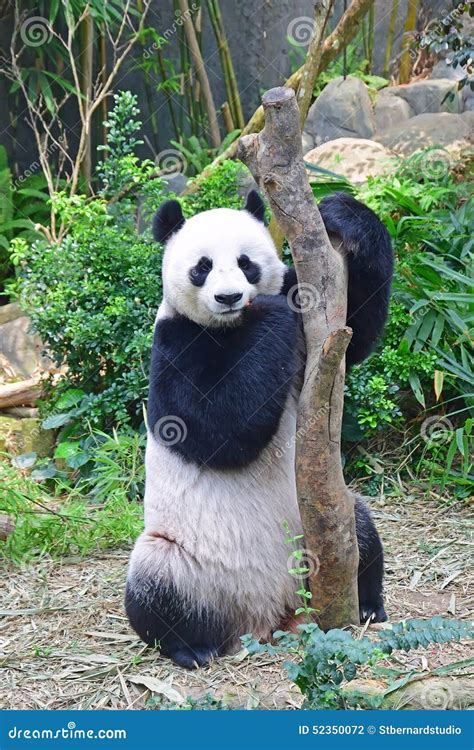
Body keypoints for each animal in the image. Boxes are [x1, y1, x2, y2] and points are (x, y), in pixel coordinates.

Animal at [125, 189, 392, 668]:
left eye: (246, 262)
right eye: (202, 267)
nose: (230, 297)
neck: (231, 328)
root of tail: (267, 616)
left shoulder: (312, 332)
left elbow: (355, 333)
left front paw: (344, 214)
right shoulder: (174, 340)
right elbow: (208, 428)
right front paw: (268, 315)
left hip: (320, 526)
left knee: (359, 529)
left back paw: (365, 604)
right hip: (186, 561)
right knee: (155, 586)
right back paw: (191, 647)